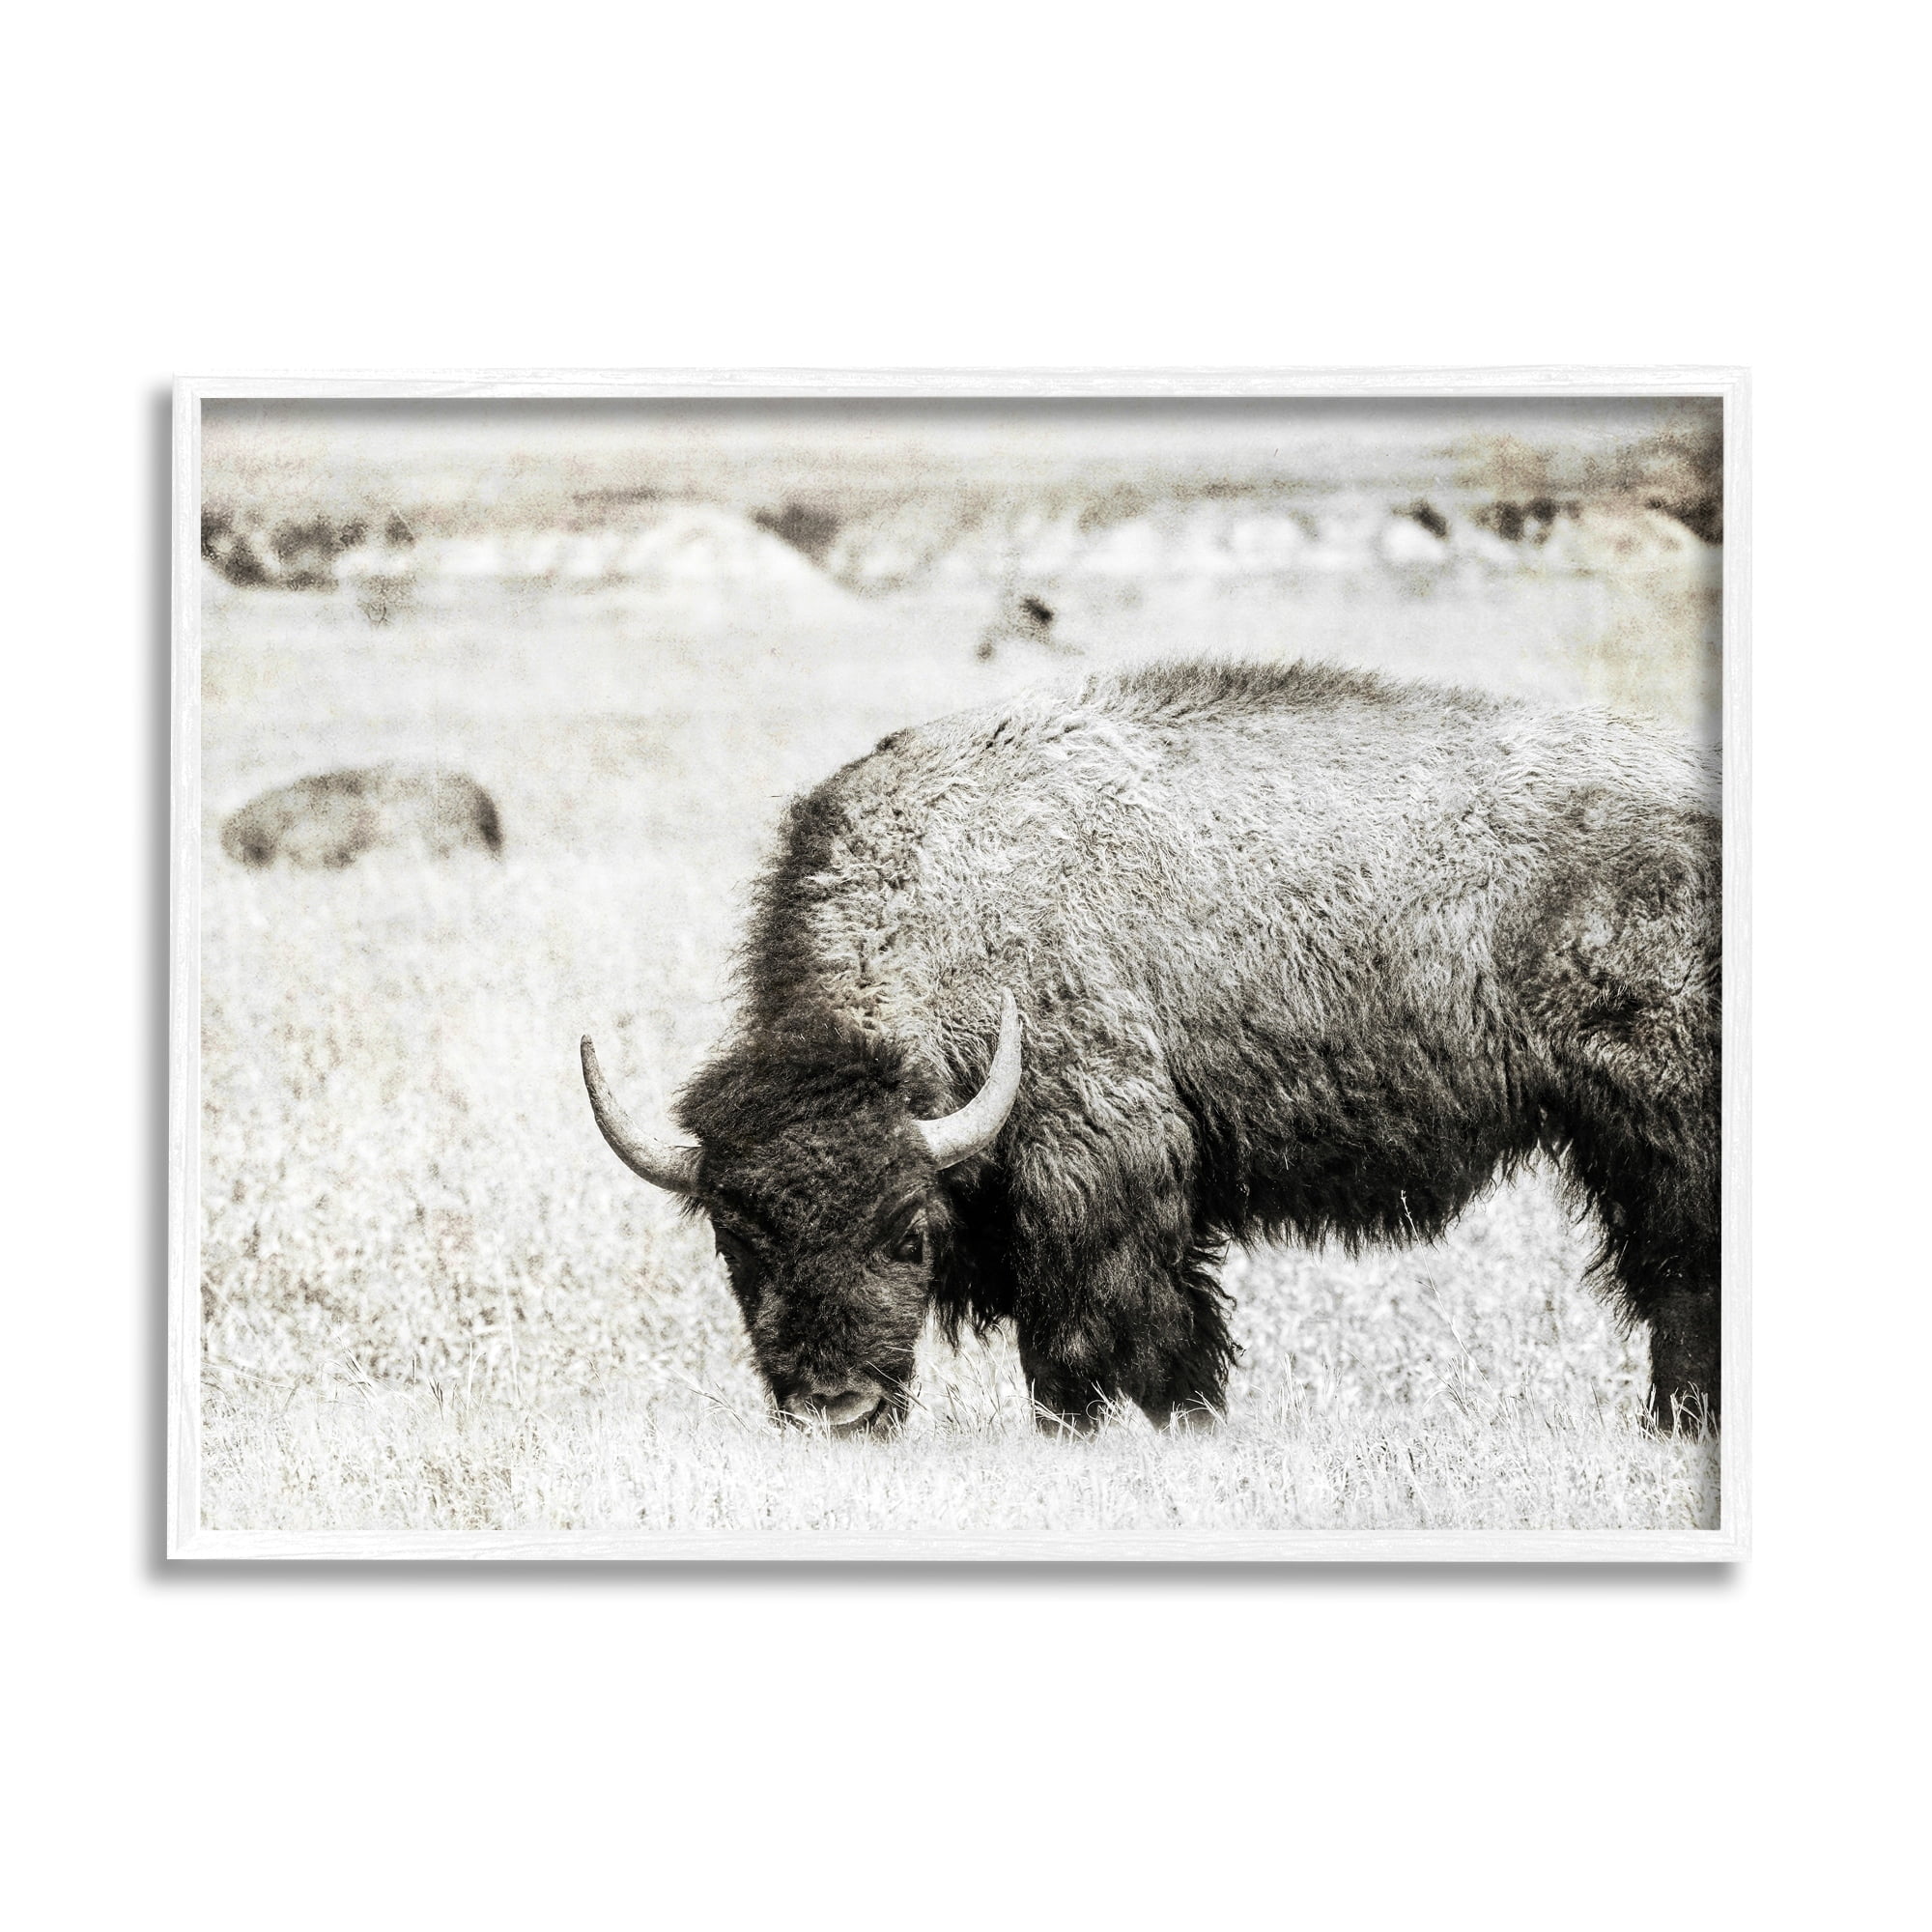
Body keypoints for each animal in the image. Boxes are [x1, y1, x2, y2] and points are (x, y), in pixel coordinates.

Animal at [582, 660, 1721, 1436]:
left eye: (907, 1232)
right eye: (738, 1243)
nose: (836, 1408)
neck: (954, 907)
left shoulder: (1100, 1169)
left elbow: (1108, 1323)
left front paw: (1135, 1423)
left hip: (1655, 1118)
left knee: (1678, 1268)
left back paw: (1674, 1422)